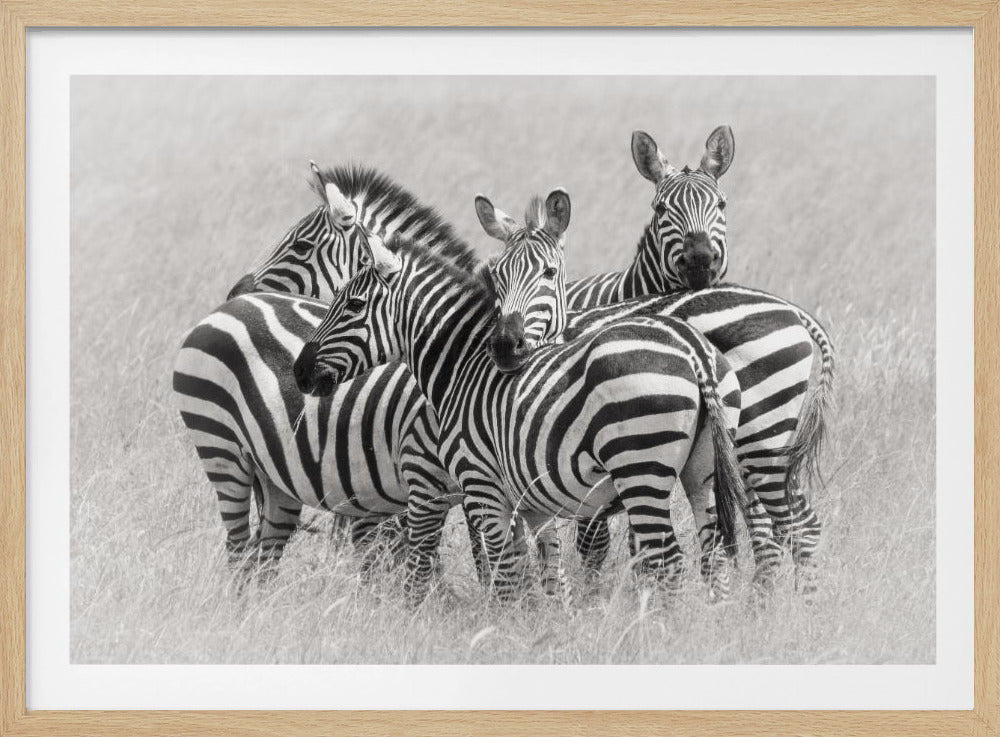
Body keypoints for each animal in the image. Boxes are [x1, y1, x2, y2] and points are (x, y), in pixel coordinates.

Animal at [293, 231, 747, 603]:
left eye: (353, 305)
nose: (299, 372)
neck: (462, 368)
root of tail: (693, 349)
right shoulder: (531, 501)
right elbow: (547, 576)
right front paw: (548, 632)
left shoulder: (482, 487)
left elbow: (506, 576)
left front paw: (504, 631)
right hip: (702, 473)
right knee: (712, 556)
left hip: (640, 469)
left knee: (668, 561)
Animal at [474, 127, 834, 593]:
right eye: (661, 209)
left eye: (722, 204)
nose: (700, 260)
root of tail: (793, 311)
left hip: (760, 438)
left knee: (790, 523)